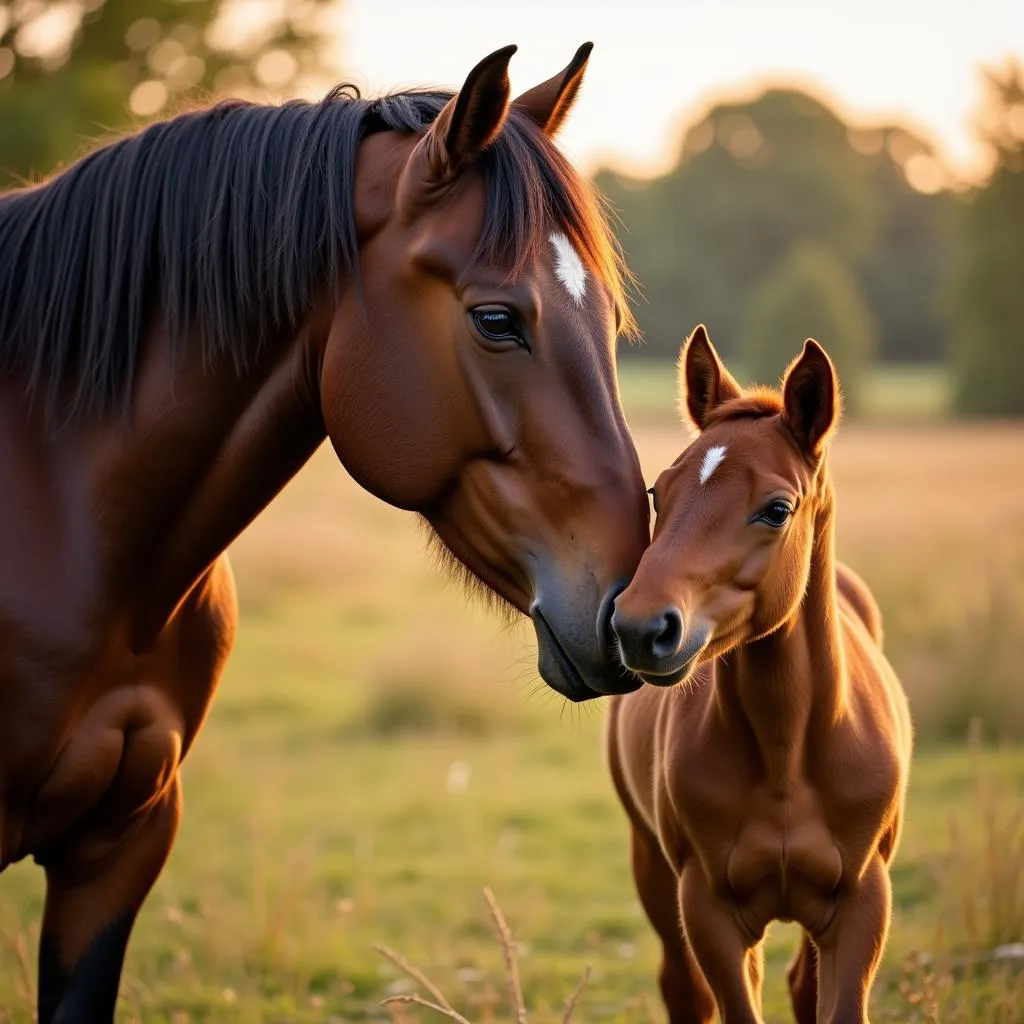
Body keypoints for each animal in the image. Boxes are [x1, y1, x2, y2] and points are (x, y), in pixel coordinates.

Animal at [606, 329, 913, 1024]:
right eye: (659, 492)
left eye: (776, 509)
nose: (638, 627)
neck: (785, 753)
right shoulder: (709, 912)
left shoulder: (863, 905)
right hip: (651, 867)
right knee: (684, 991)